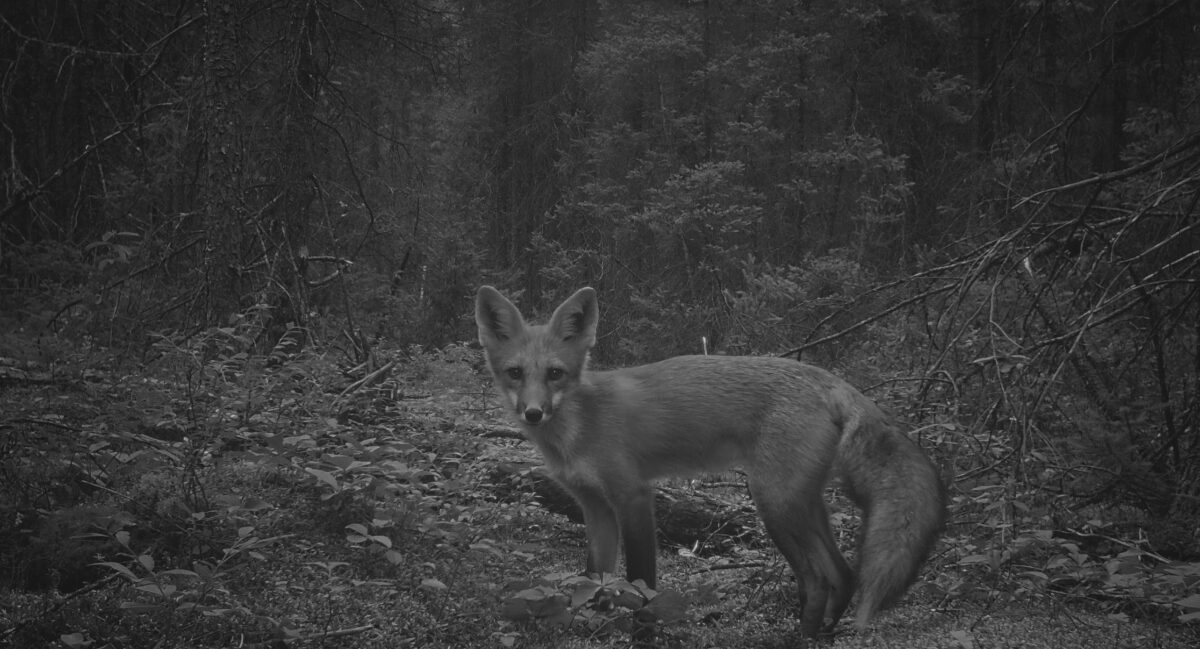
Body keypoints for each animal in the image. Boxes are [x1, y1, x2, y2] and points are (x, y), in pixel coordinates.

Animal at [475, 285, 945, 639]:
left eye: (554, 373)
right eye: (515, 373)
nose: (533, 413)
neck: (581, 424)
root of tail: (829, 378)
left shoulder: (633, 496)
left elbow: (642, 584)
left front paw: (642, 636)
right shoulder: (595, 506)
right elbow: (595, 577)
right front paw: (590, 626)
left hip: (774, 504)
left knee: (816, 579)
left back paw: (800, 639)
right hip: (801, 503)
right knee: (843, 573)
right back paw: (822, 636)